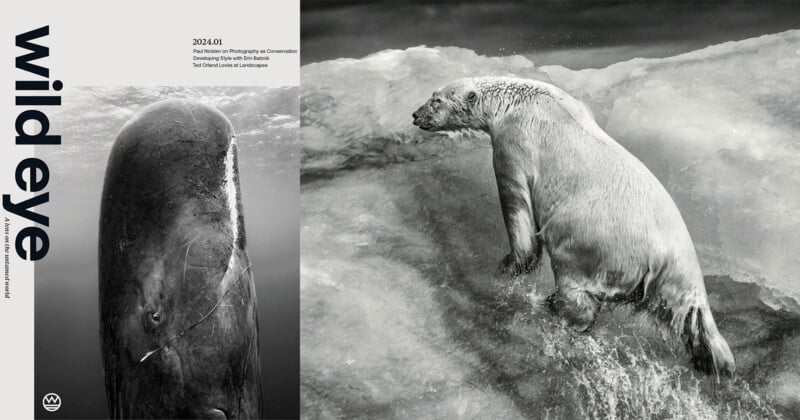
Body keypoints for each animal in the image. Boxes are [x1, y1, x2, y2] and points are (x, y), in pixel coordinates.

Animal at [412, 76, 736, 378]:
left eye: (436, 100)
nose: (415, 115)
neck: (517, 101)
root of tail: (660, 258)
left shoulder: (514, 143)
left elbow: (516, 205)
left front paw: (509, 264)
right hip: (681, 274)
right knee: (693, 317)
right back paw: (716, 362)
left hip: (590, 245)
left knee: (575, 285)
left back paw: (555, 305)